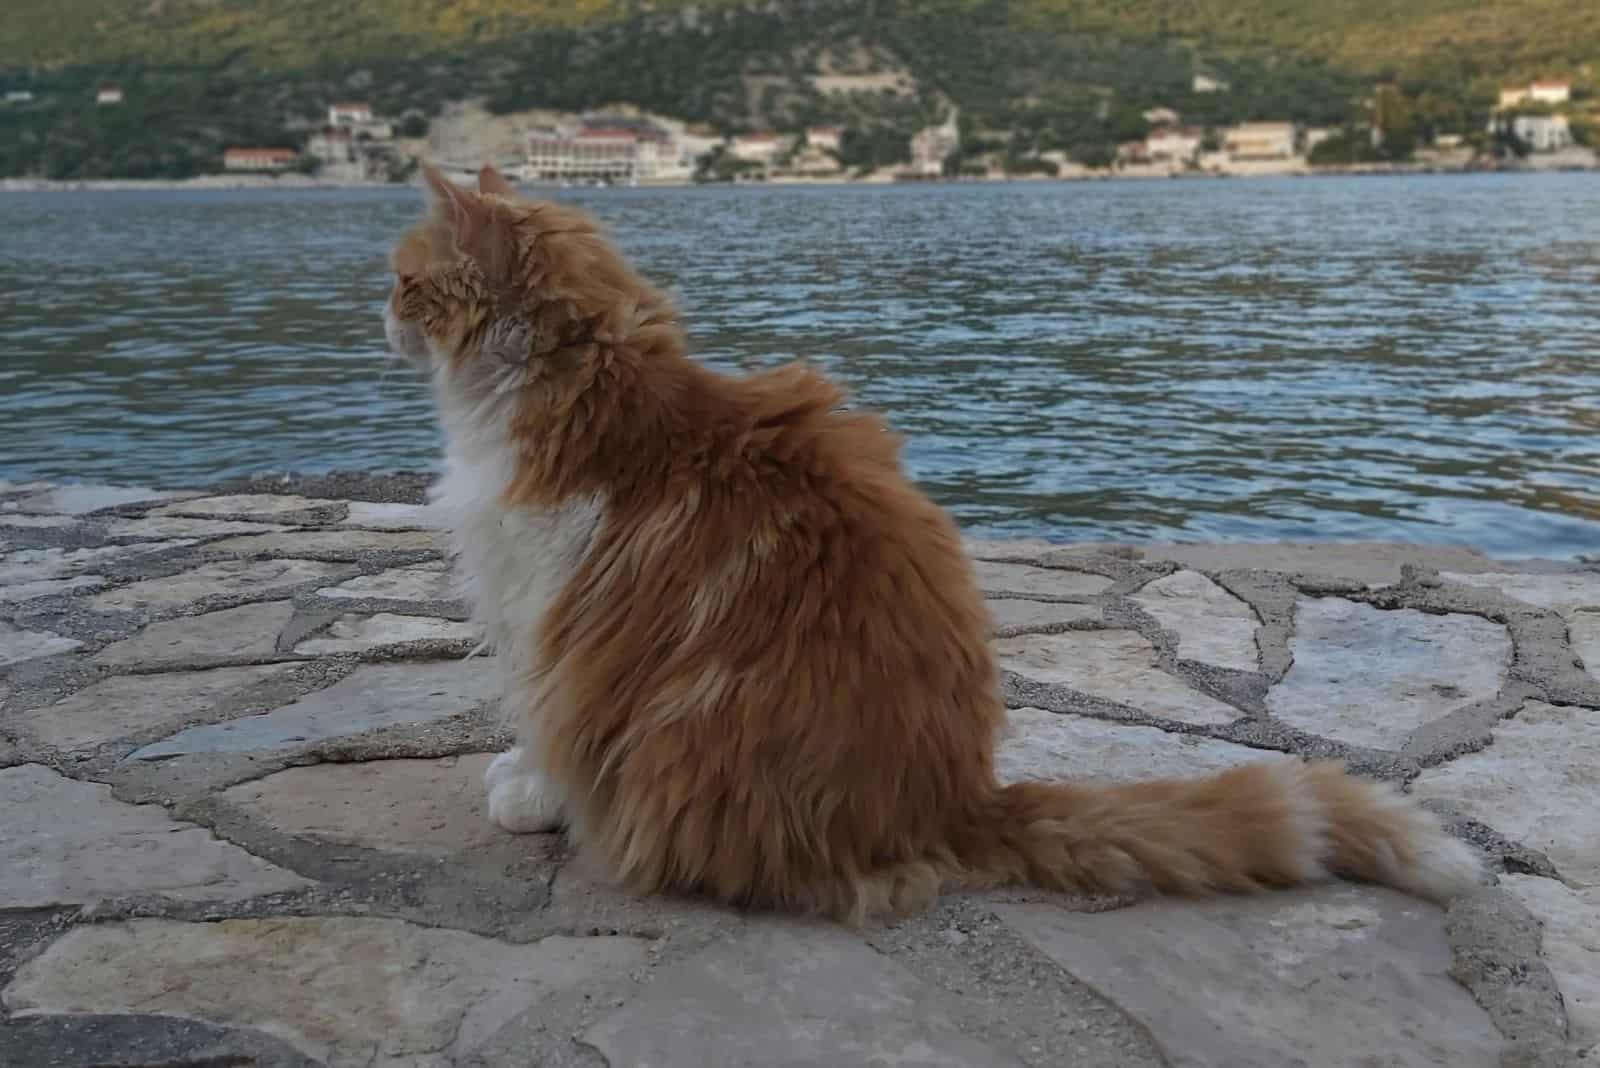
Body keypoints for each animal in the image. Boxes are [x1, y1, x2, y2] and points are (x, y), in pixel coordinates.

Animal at [387, 163, 1484, 920]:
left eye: (403, 283)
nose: (378, 314)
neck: (579, 387)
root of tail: (953, 801)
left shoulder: (542, 614)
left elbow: (544, 728)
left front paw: (531, 795)